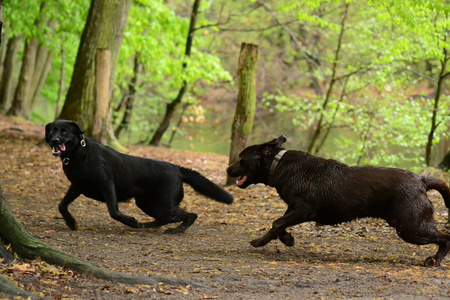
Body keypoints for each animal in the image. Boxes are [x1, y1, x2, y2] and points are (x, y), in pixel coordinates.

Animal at [46, 120, 234, 233]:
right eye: (53, 131)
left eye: (65, 132)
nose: (54, 141)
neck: (79, 154)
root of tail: (177, 168)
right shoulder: (76, 186)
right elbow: (61, 205)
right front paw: (71, 222)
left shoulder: (107, 184)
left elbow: (113, 211)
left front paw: (130, 221)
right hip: (147, 203)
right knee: (163, 219)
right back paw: (149, 225)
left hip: (163, 205)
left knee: (190, 215)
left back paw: (176, 230)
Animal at [227, 135, 450, 266]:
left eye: (240, 158)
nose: (228, 169)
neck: (278, 164)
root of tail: (421, 180)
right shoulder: (292, 209)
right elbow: (278, 225)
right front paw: (280, 239)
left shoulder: (304, 210)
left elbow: (276, 222)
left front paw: (268, 241)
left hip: (411, 228)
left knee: (445, 237)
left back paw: (435, 260)